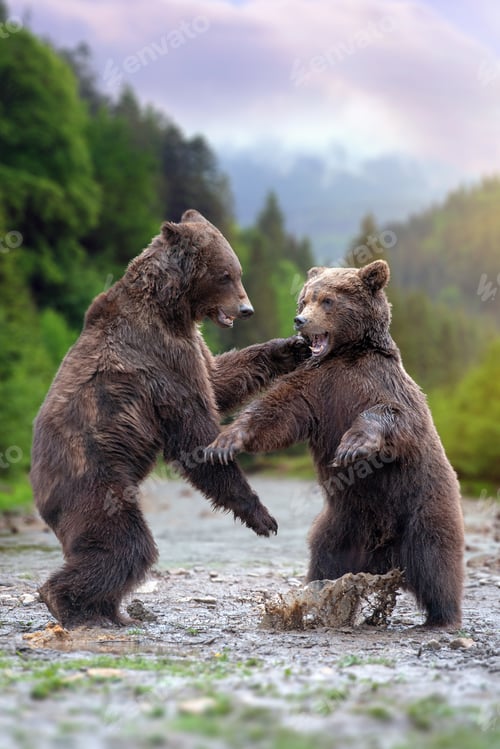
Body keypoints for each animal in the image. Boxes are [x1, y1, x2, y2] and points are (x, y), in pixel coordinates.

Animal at [30, 209, 309, 628]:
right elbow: (194, 434)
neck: (171, 309)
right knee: (126, 544)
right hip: (96, 482)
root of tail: (38, 487)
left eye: (237, 271)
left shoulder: (191, 345)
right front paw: (262, 516)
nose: (246, 309)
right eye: (226, 274)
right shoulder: (161, 361)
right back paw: (69, 604)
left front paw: (292, 348)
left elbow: (219, 379)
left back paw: (110, 611)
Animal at [204, 260, 465, 628]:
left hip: (421, 505)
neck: (346, 353)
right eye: (305, 299)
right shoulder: (317, 387)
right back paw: (317, 599)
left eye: (327, 300)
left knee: (435, 560)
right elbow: (277, 412)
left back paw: (442, 616)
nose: (300, 320)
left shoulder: (378, 383)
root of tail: (384, 555)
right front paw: (227, 439)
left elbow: (394, 415)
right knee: (325, 557)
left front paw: (352, 445)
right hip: (344, 522)